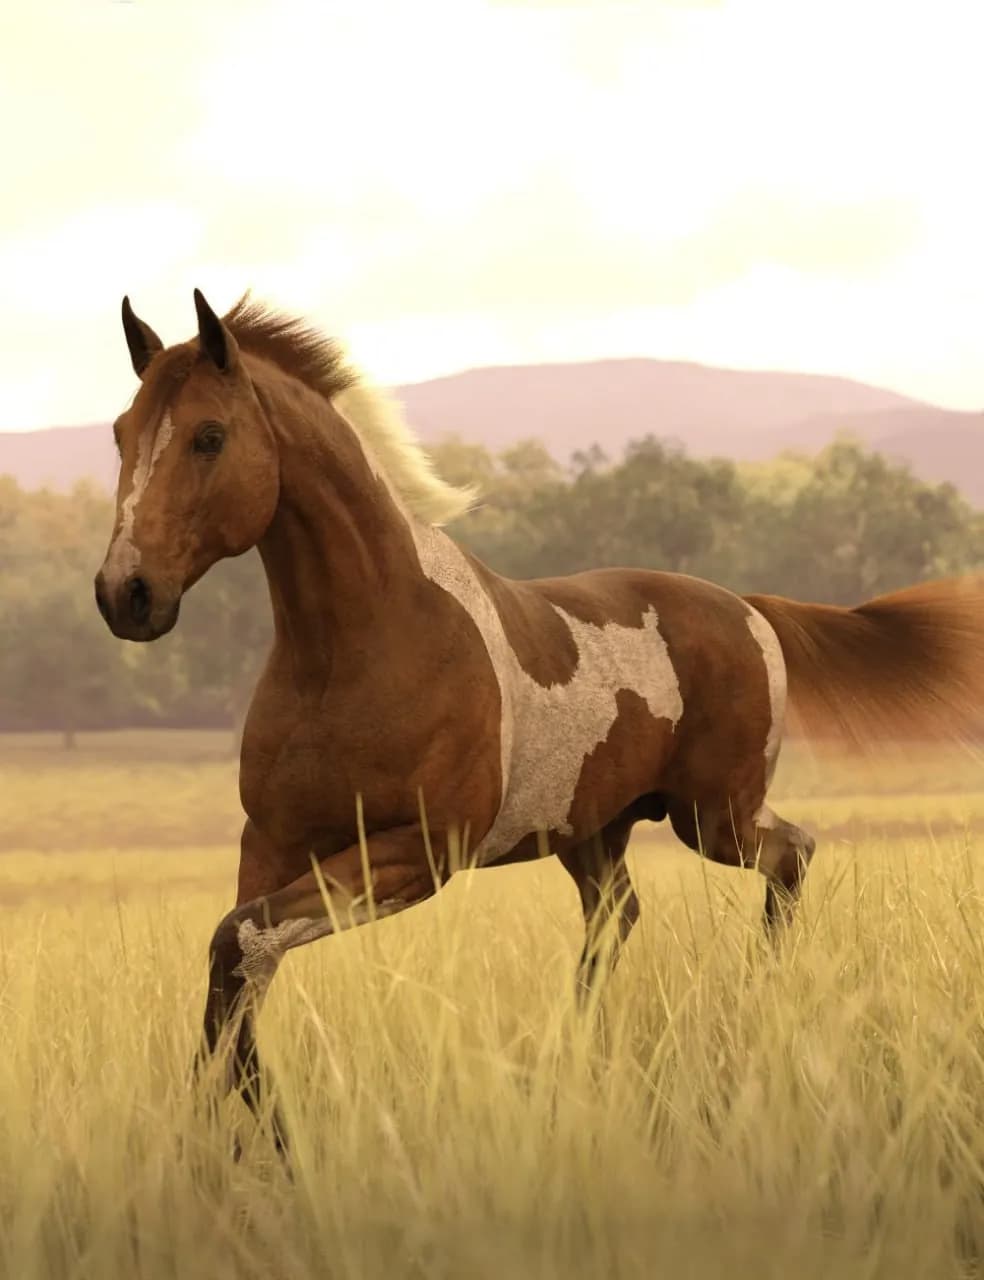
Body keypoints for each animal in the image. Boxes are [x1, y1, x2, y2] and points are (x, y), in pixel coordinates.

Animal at [95, 289, 984, 1151]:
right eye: (121, 433)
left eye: (209, 436)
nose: (125, 595)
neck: (358, 645)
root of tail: (748, 606)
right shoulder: (272, 844)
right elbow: (238, 967)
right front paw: (229, 1144)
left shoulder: (419, 851)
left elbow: (237, 944)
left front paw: (279, 1145)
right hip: (597, 832)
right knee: (616, 920)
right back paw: (573, 1070)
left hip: (713, 816)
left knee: (792, 854)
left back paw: (751, 1008)